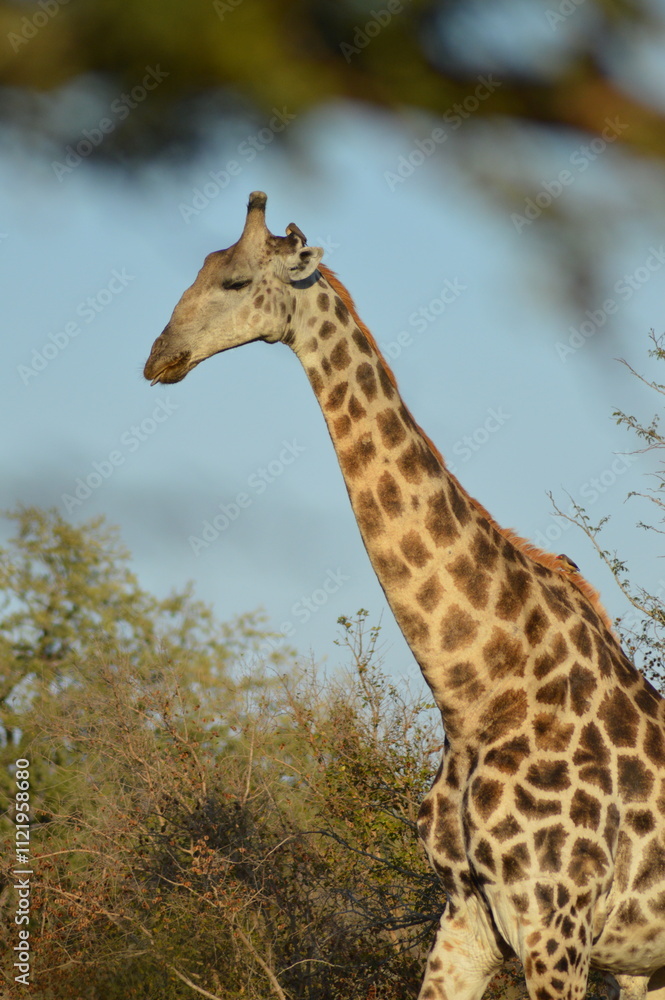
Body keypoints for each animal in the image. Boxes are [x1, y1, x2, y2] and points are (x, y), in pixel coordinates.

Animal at [143, 192, 665, 1000]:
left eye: (233, 280)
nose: (158, 356)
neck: (477, 692)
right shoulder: (467, 918)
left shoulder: (558, 921)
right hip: (644, 963)